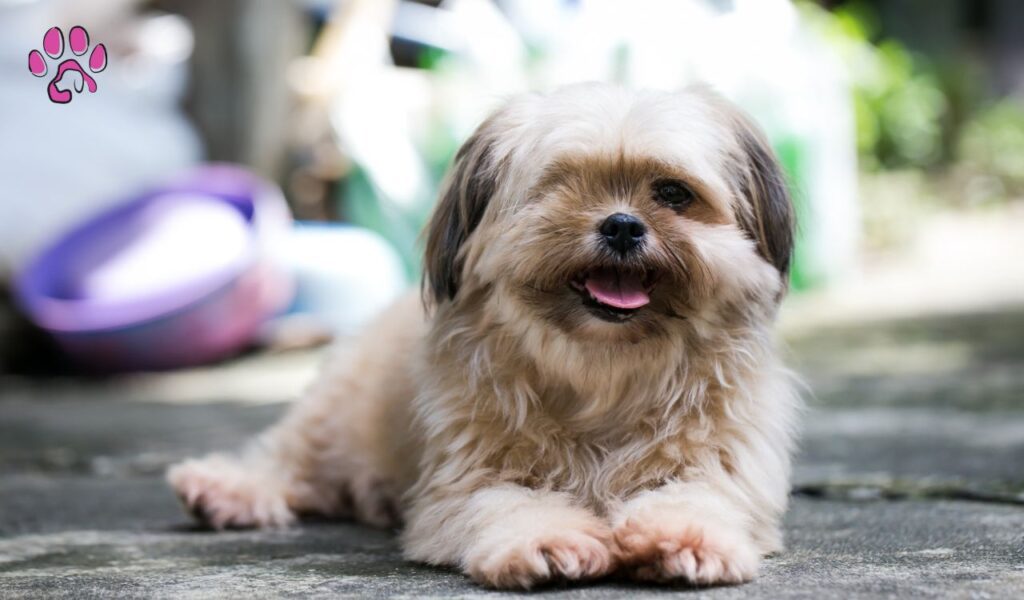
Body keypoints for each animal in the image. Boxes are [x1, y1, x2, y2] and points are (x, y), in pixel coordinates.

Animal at [167, 83, 798, 589]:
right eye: (561, 186)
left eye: (672, 193)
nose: (622, 225)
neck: (601, 366)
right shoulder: (469, 479)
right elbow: (511, 502)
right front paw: (549, 541)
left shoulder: (721, 464)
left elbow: (699, 496)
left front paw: (683, 539)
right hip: (336, 412)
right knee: (291, 462)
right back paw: (226, 490)